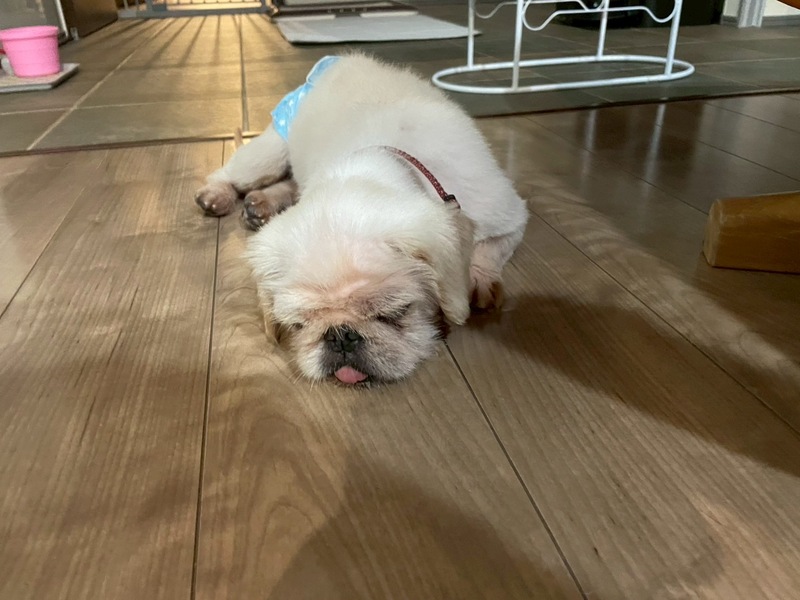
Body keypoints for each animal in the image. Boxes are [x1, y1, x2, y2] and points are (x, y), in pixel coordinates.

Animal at [194, 53, 528, 385]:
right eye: (299, 324)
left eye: (394, 313)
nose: (341, 336)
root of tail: (336, 61)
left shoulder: (508, 216)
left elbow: (488, 251)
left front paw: (478, 282)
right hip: (267, 154)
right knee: (233, 172)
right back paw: (218, 195)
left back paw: (261, 204)